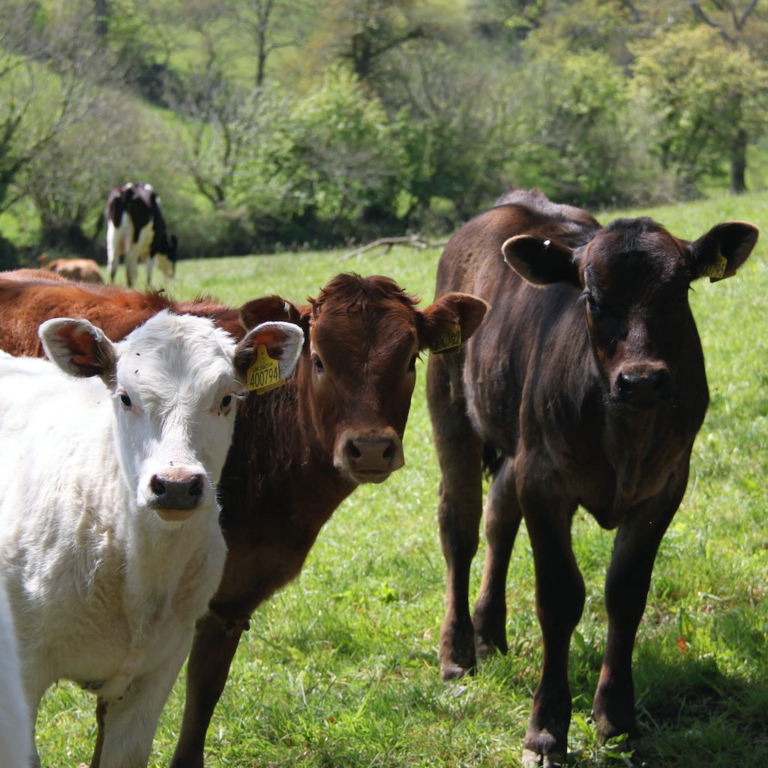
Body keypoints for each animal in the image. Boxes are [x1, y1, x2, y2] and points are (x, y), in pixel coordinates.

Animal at [428, 188, 760, 768]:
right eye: (591, 297)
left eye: (680, 291)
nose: (642, 380)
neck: (624, 430)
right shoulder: (545, 482)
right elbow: (560, 598)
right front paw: (545, 730)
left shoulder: (665, 486)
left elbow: (626, 593)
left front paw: (617, 720)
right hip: (448, 403)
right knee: (460, 526)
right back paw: (459, 652)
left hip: (515, 437)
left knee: (498, 517)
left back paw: (491, 634)